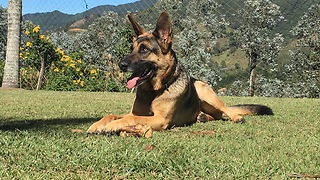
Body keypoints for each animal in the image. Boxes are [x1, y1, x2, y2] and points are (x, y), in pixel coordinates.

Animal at [87, 12, 272, 135]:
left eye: (144, 50)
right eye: (131, 49)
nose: (121, 64)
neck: (154, 91)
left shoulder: (160, 119)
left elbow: (128, 119)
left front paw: (112, 126)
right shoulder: (136, 113)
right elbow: (112, 115)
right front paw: (97, 124)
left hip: (204, 91)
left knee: (226, 110)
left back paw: (236, 117)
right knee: (216, 115)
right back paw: (202, 117)